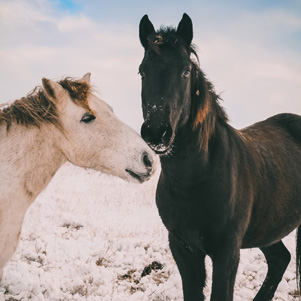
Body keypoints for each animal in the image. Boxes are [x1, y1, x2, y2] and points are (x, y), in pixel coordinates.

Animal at [139, 13, 300, 300]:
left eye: (186, 71)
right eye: (142, 71)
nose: (157, 132)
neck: (194, 179)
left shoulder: (226, 253)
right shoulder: (183, 249)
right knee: (280, 258)